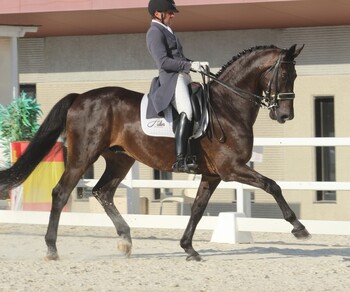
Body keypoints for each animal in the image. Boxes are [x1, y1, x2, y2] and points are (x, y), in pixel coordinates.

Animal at [0, 42, 308, 260]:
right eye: (283, 74)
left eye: (294, 75)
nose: (285, 116)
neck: (227, 107)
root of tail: (80, 97)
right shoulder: (231, 169)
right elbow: (272, 185)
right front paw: (298, 227)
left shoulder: (212, 175)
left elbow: (197, 208)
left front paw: (188, 248)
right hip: (83, 156)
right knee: (61, 192)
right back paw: (52, 248)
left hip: (119, 159)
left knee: (103, 192)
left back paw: (125, 240)